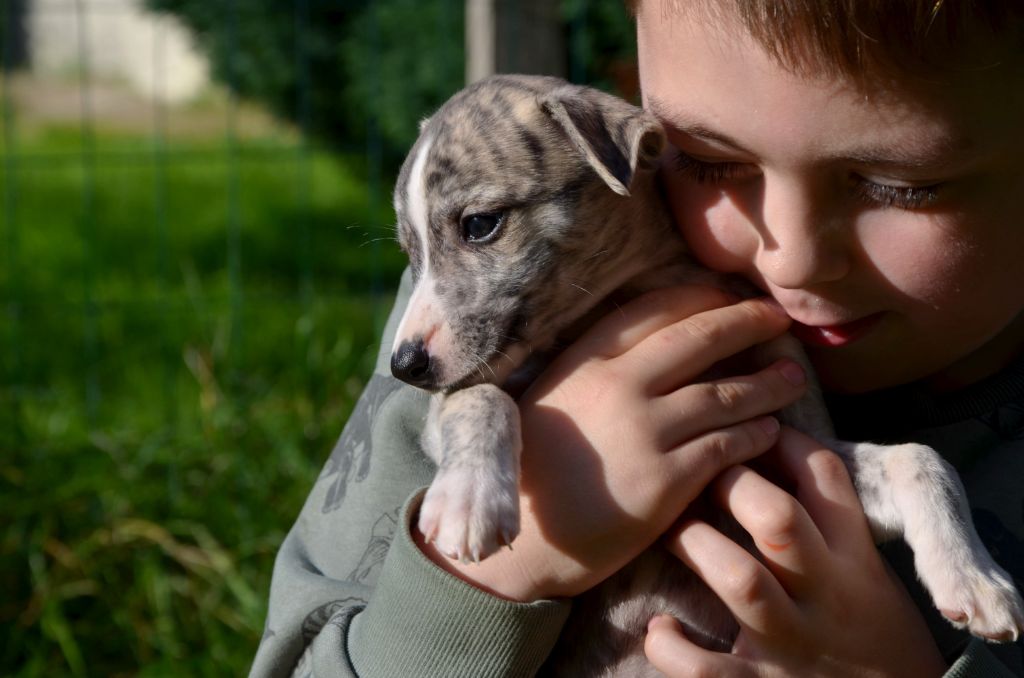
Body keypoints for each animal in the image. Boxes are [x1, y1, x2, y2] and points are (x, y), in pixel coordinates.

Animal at [385, 71, 1024, 675]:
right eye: (409, 252)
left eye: (480, 224)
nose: (404, 365)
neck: (631, 292)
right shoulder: (460, 395)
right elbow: (478, 397)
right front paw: (468, 501)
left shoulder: (796, 446)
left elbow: (921, 458)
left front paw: (975, 578)